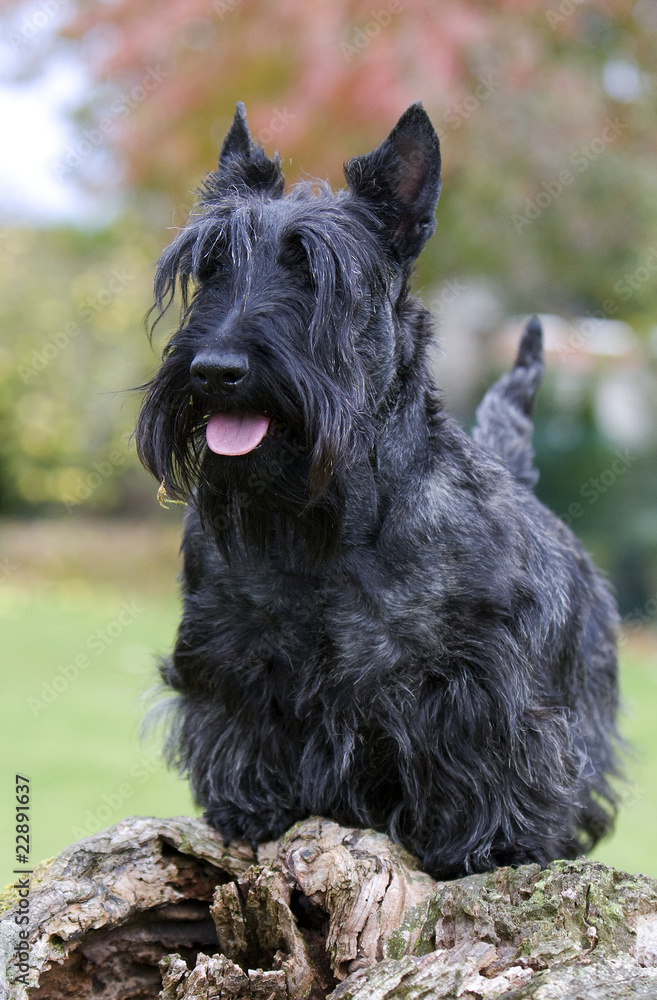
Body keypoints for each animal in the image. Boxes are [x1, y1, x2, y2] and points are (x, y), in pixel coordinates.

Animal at [136, 101, 616, 880]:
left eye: (313, 270)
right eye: (209, 268)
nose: (214, 369)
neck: (320, 518)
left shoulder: (479, 680)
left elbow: (492, 756)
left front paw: (492, 844)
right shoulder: (229, 653)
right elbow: (238, 723)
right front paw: (250, 806)